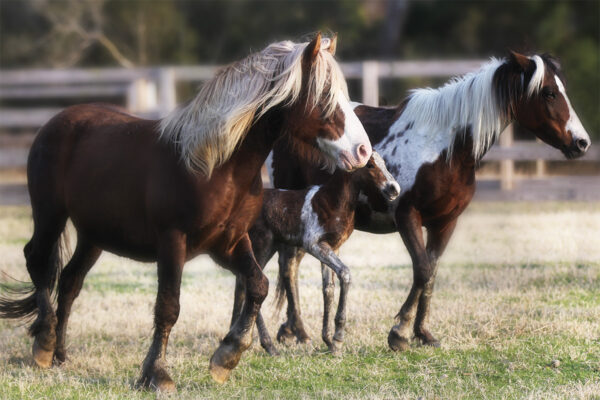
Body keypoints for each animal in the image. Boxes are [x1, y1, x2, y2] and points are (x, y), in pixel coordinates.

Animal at [0, 34, 376, 390]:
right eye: (325, 96)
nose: (362, 151)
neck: (213, 165)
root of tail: (56, 121)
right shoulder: (173, 242)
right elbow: (169, 307)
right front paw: (157, 374)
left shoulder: (229, 243)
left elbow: (258, 285)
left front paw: (227, 355)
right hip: (50, 214)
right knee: (38, 261)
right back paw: (45, 343)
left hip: (93, 235)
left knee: (69, 282)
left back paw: (61, 355)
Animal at [252, 51, 592, 354]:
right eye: (548, 93)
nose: (582, 142)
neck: (446, 149)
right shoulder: (407, 216)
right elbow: (423, 269)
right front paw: (400, 332)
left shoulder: (445, 223)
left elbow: (431, 272)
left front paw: (422, 333)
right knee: (288, 266)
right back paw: (299, 331)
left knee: (292, 264)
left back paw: (294, 331)